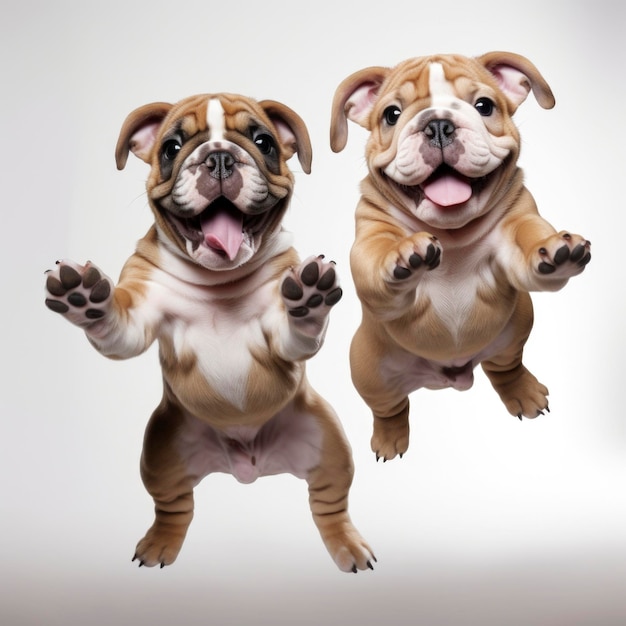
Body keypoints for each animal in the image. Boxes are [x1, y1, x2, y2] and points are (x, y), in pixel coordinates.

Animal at [46, 92, 376, 572]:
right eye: (171, 148)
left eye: (263, 142)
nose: (219, 157)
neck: (218, 281)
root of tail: (248, 463)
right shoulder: (139, 315)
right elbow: (117, 328)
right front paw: (86, 297)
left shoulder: (281, 336)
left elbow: (295, 332)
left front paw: (309, 296)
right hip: (162, 453)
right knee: (173, 505)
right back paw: (159, 544)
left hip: (329, 445)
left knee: (329, 503)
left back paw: (347, 546)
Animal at [332, 51, 588, 458]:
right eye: (391, 114)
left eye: (483, 106)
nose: (438, 124)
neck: (451, 233)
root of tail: (452, 374)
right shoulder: (370, 238)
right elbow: (378, 255)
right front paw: (403, 253)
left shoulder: (518, 218)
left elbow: (529, 236)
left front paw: (554, 249)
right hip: (369, 371)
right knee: (389, 407)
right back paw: (389, 438)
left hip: (515, 332)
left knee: (505, 367)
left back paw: (523, 392)